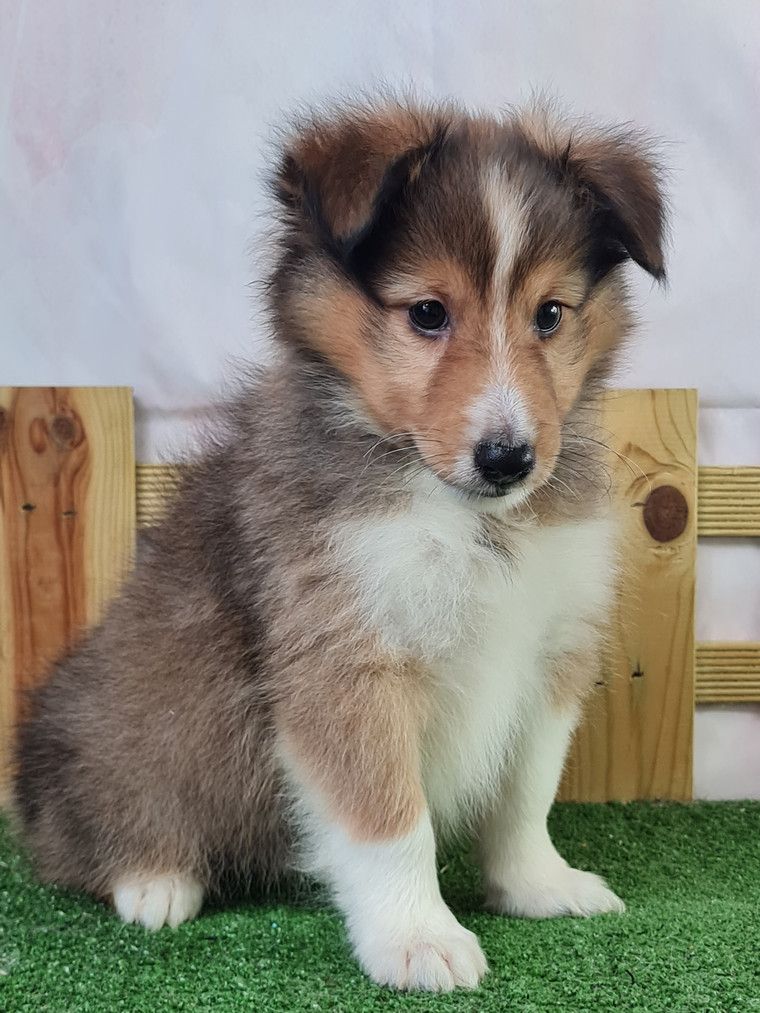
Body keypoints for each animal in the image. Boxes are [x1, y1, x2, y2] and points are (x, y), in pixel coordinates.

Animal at [11, 100, 664, 988]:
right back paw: (156, 880)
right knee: (87, 832)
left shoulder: (552, 648)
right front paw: (418, 937)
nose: (508, 458)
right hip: (126, 729)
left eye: (550, 314)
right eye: (427, 313)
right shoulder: (346, 657)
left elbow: (526, 792)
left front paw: (537, 885)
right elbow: (391, 816)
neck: (468, 516)